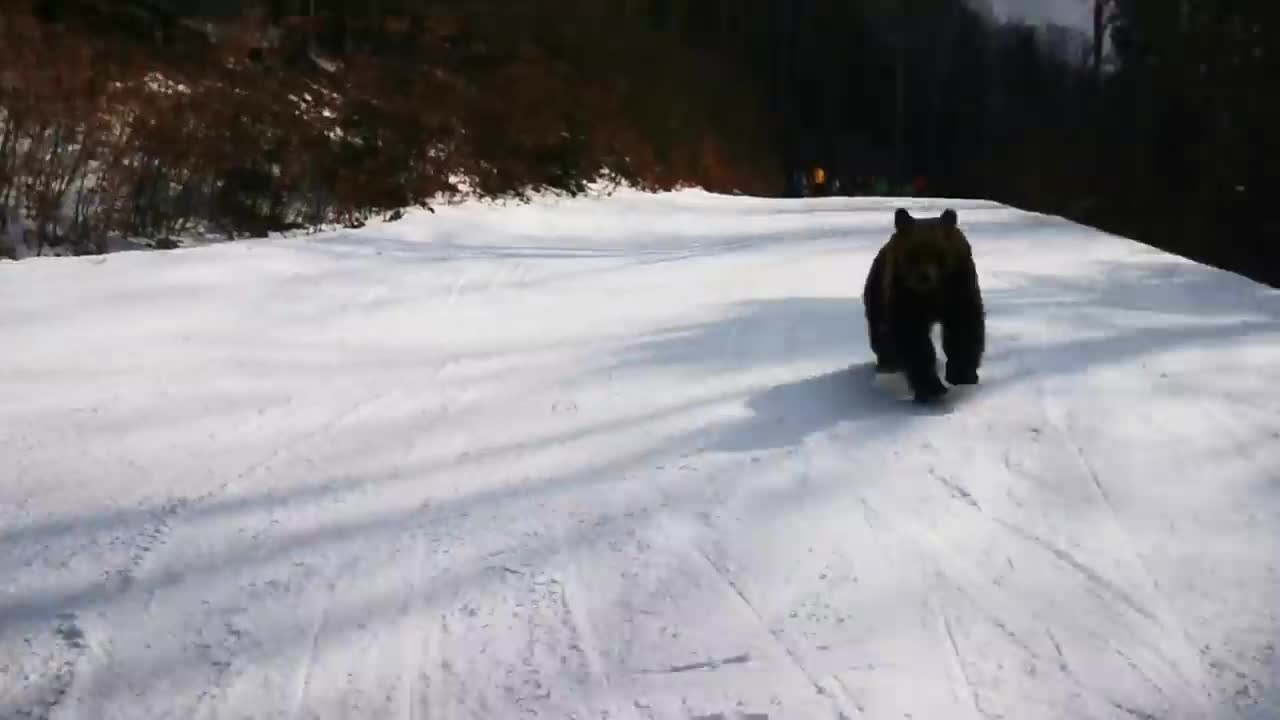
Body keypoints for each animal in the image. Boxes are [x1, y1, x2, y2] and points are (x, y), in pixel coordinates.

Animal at [865, 204, 983, 399]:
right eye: (912, 254)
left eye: (939, 253)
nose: (924, 276)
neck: (931, 293)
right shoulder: (906, 295)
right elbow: (913, 337)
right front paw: (931, 388)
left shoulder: (958, 288)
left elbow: (963, 328)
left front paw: (962, 375)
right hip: (877, 291)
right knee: (881, 331)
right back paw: (888, 363)